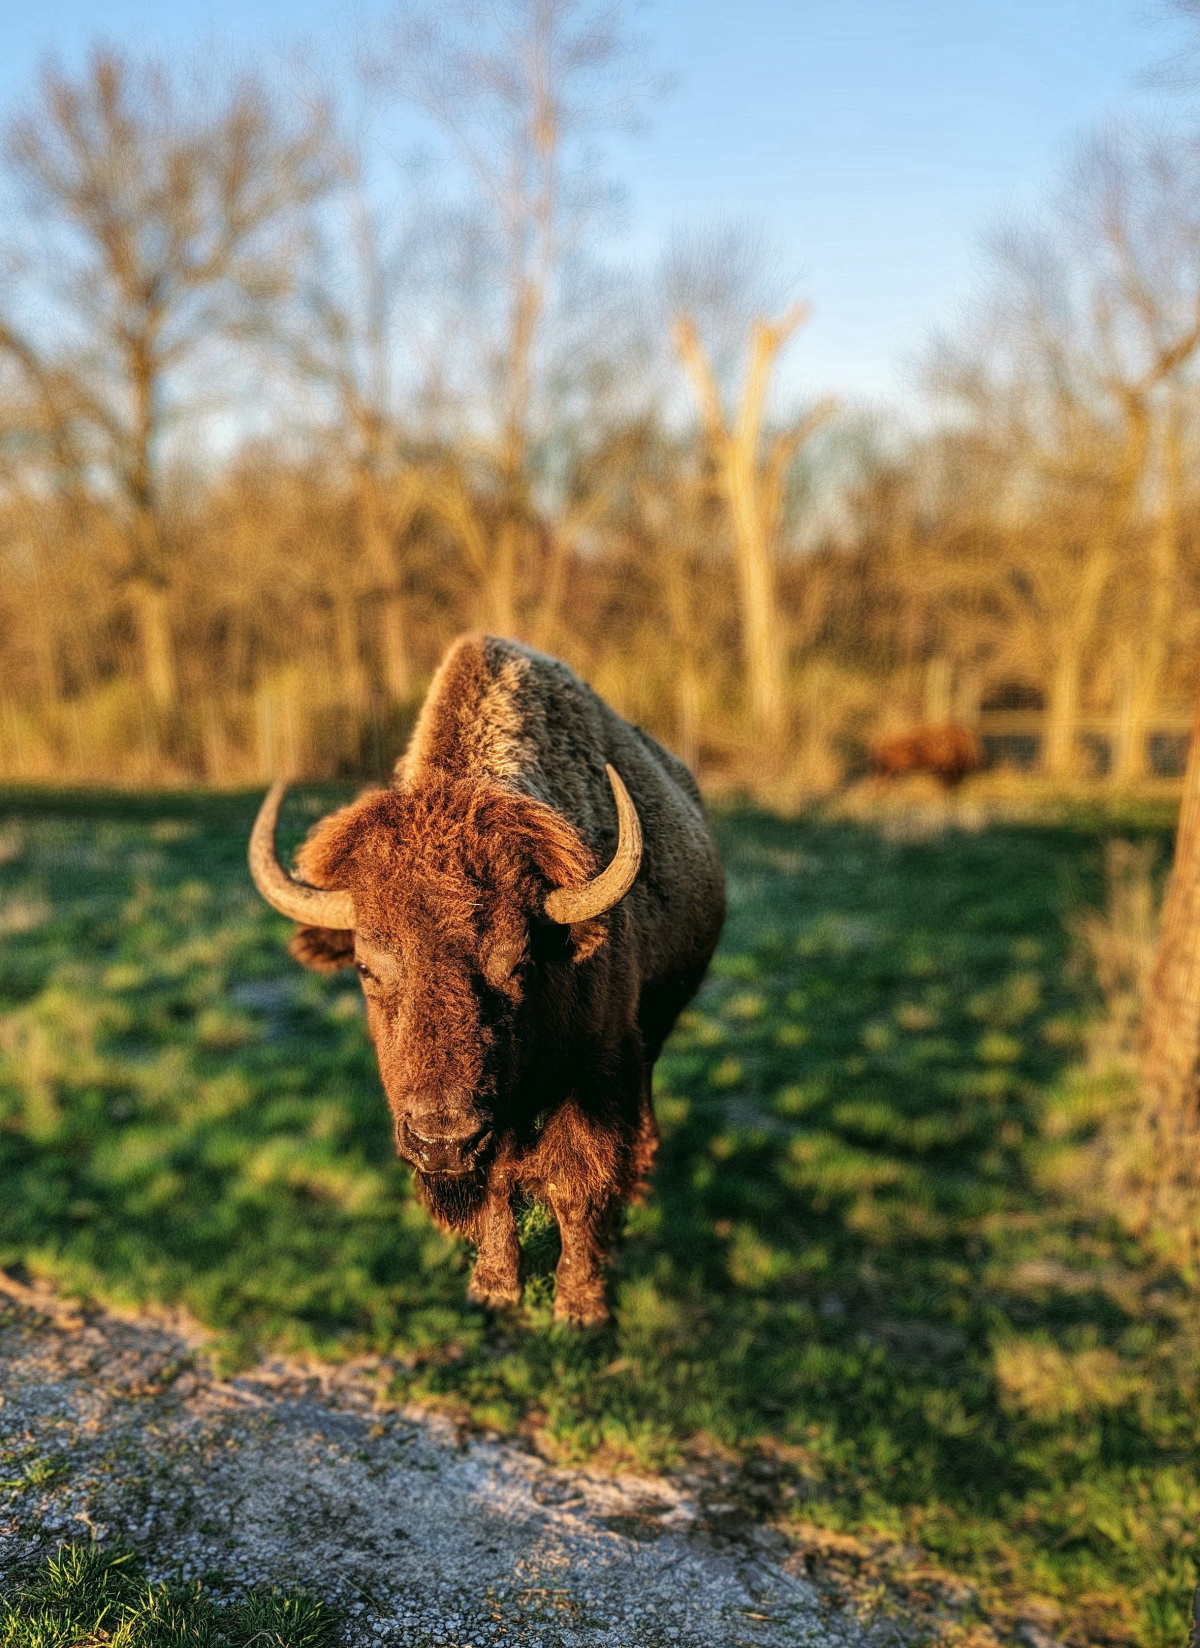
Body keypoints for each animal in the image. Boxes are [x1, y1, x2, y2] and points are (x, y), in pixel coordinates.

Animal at [248, 634, 725, 1325]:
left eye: (520, 961)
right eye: (366, 966)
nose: (441, 1141)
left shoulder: (596, 1070)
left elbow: (574, 1187)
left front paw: (580, 1307)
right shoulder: (491, 1122)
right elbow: (496, 1188)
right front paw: (495, 1291)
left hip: (653, 1033)